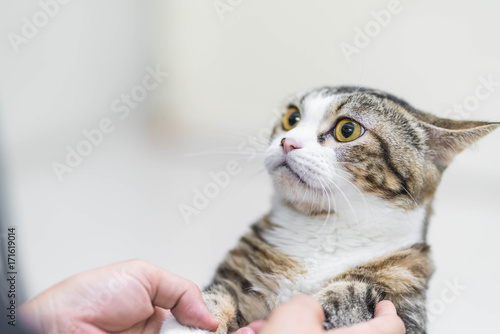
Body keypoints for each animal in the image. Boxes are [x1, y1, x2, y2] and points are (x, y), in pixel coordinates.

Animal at [160, 86, 496, 334]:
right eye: (292, 118)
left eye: (347, 129)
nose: (288, 142)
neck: (324, 229)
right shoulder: (237, 271)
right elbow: (214, 297)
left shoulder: (408, 292)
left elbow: (356, 293)